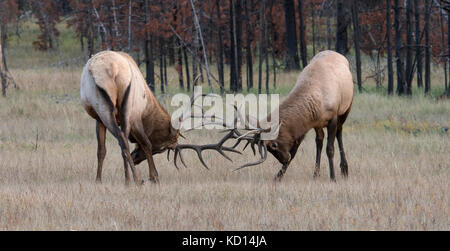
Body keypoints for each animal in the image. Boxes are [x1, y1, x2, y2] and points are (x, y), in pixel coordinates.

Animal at [177, 51, 356, 181]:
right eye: (269, 149)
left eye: (273, 145)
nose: (284, 159)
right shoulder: (311, 124)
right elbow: (297, 148)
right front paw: (279, 176)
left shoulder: (332, 116)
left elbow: (330, 149)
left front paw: (333, 177)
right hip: (320, 125)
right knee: (319, 141)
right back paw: (316, 173)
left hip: (346, 109)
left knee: (339, 134)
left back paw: (344, 169)